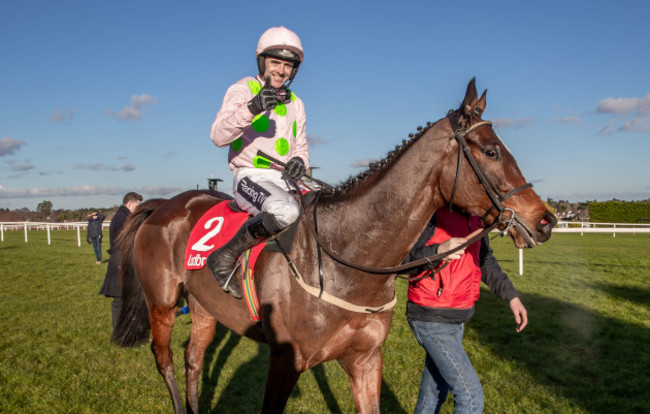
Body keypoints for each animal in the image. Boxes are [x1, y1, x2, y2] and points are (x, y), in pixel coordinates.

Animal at [114, 78, 556, 414]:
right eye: (492, 151)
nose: (545, 220)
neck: (347, 260)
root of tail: (162, 205)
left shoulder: (366, 360)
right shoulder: (284, 362)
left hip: (205, 307)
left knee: (194, 359)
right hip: (163, 304)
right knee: (166, 361)